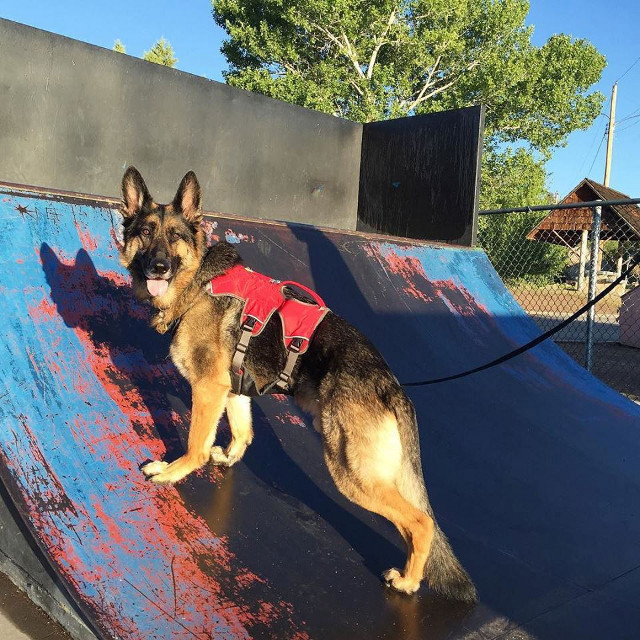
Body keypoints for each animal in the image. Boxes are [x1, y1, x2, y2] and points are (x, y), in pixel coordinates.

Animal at [119, 166, 476, 600]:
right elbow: (243, 431)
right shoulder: (232, 389)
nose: (157, 267)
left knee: (421, 522)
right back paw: (412, 572)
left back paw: (408, 581)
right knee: (411, 521)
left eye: (174, 236)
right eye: (146, 231)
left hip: (350, 470)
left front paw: (174, 471)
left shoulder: (208, 388)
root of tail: (390, 382)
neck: (198, 282)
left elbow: (195, 446)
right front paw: (230, 456)